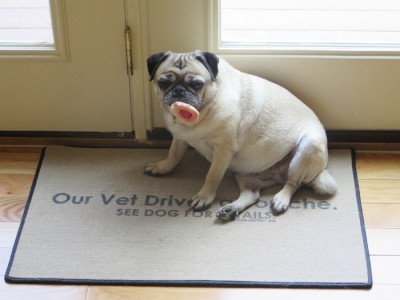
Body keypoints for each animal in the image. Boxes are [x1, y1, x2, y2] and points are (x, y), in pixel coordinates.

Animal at [145, 51, 338, 220]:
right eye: (163, 83)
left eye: (197, 84)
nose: (178, 91)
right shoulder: (180, 138)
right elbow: (174, 155)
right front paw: (163, 167)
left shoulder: (223, 151)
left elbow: (212, 176)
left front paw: (204, 196)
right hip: (245, 174)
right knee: (252, 195)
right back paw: (231, 209)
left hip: (308, 147)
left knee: (293, 183)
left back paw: (281, 199)